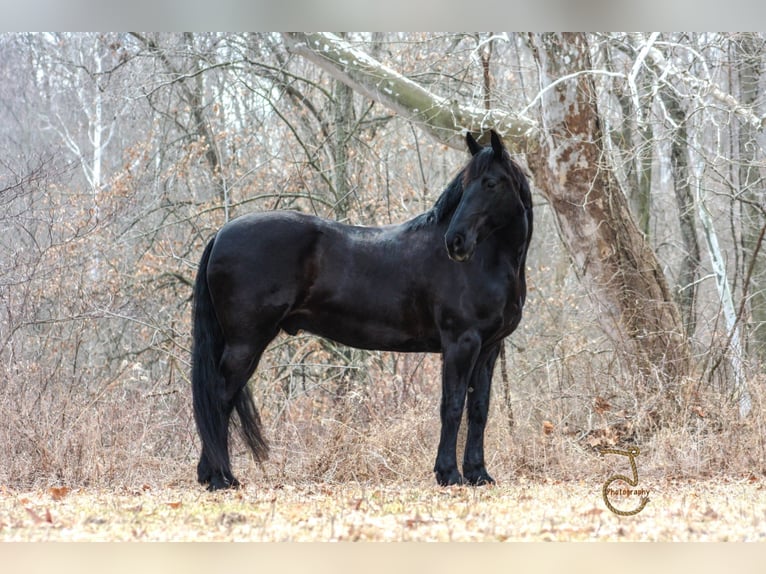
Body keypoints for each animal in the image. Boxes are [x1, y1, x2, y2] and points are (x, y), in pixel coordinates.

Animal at [194, 130, 536, 490]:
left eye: (490, 183)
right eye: (466, 184)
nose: (455, 242)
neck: (487, 263)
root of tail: (220, 234)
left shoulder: (488, 348)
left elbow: (479, 409)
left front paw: (478, 473)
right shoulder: (461, 342)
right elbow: (453, 405)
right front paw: (449, 473)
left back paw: (215, 475)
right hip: (245, 343)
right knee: (219, 399)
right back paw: (218, 477)